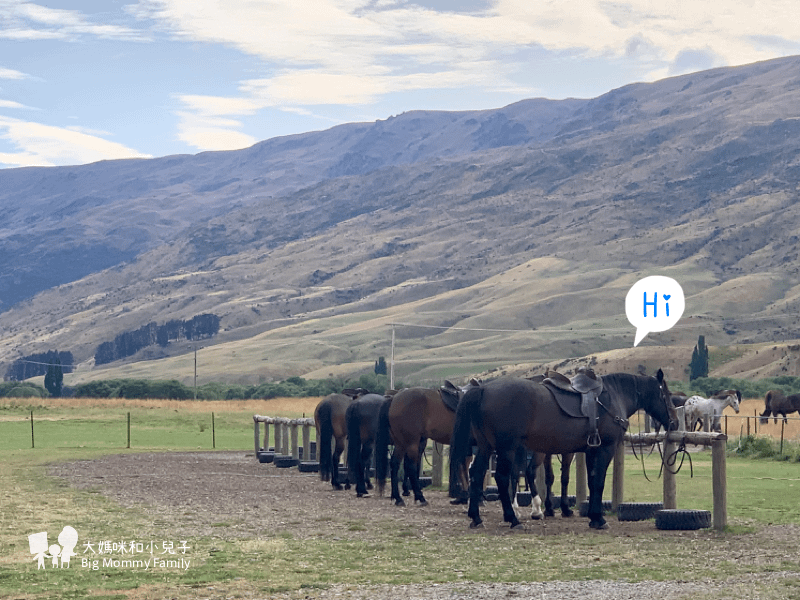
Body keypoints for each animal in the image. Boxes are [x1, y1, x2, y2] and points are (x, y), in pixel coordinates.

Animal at [450, 370, 676, 528]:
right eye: (667, 395)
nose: (673, 422)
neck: (613, 396)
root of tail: (483, 390)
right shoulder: (605, 449)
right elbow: (599, 482)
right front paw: (598, 519)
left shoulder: (590, 450)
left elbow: (592, 482)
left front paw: (593, 517)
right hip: (507, 449)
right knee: (503, 477)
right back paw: (513, 519)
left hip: (487, 447)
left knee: (476, 474)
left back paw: (476, 517)